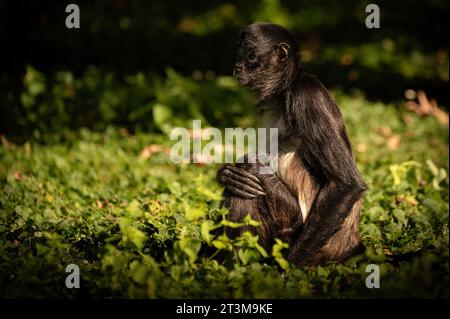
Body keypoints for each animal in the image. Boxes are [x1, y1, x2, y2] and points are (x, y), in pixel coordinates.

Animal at [216, 23, 368, 268]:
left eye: (250, 56)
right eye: (239, 53)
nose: (237, 67)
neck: (285, 90)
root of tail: (350, 241)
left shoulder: (306, 97)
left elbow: (347, 184)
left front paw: (288, 267)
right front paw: (225, 173)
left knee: (249, 173)